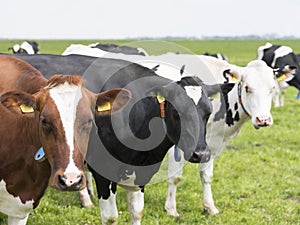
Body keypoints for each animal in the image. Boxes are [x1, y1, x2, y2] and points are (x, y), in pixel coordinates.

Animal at [62, 43, 276, 217]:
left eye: (273, 89)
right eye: (247, 87)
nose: (263, 119)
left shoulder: (210, 143)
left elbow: (207, 175)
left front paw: (210, 207)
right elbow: (176, 177)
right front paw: (171, 209)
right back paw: (86, 199)